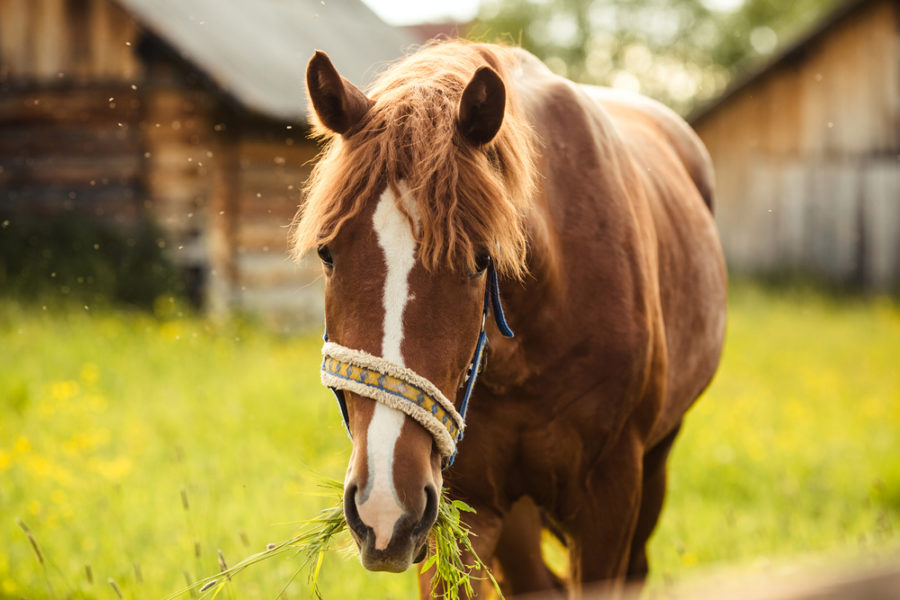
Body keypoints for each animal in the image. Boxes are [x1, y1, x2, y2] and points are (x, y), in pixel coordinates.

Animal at [292, 39, 728, 596]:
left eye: (481, 259)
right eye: (327, 253)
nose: (384, 510)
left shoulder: (610, 496)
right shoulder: (460, 511)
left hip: (655, 464)